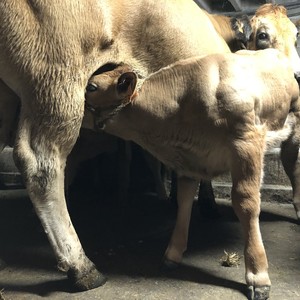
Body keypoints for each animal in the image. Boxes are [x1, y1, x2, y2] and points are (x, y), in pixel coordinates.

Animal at [84, 49, 300, 300]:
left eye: (92, 87)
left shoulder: (247, 142)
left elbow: (246, 203)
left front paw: (258, 275)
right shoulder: (190, 158)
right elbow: (185, 199)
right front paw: (173, 253)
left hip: (293, 125)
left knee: (292, 164)